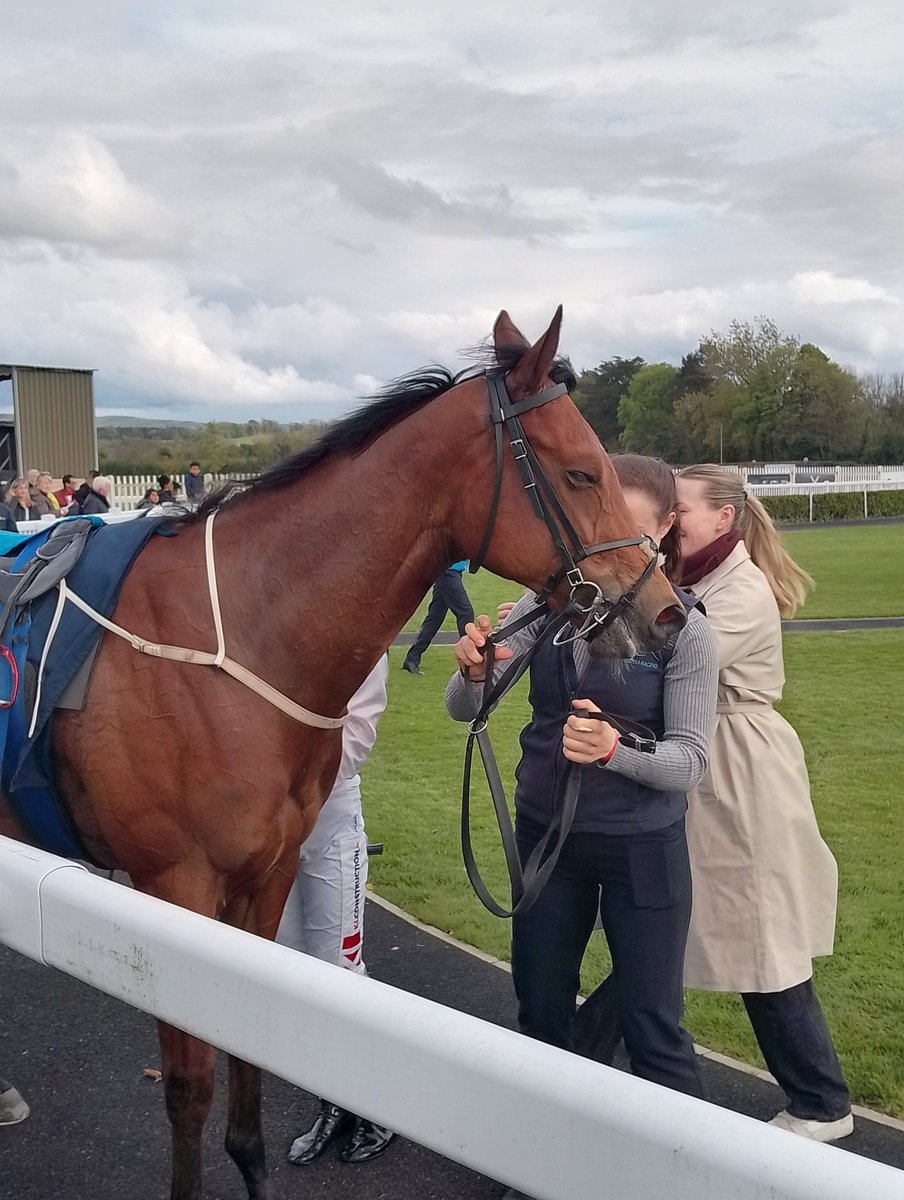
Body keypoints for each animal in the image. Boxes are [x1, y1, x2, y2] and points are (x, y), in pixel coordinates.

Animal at [0, 304, 681, 1195]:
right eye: (580, 474)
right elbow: (190, 1085)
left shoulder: (265, 880)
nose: (666, 611)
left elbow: (250, 1061)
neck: (237, 635)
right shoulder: (173, 889)